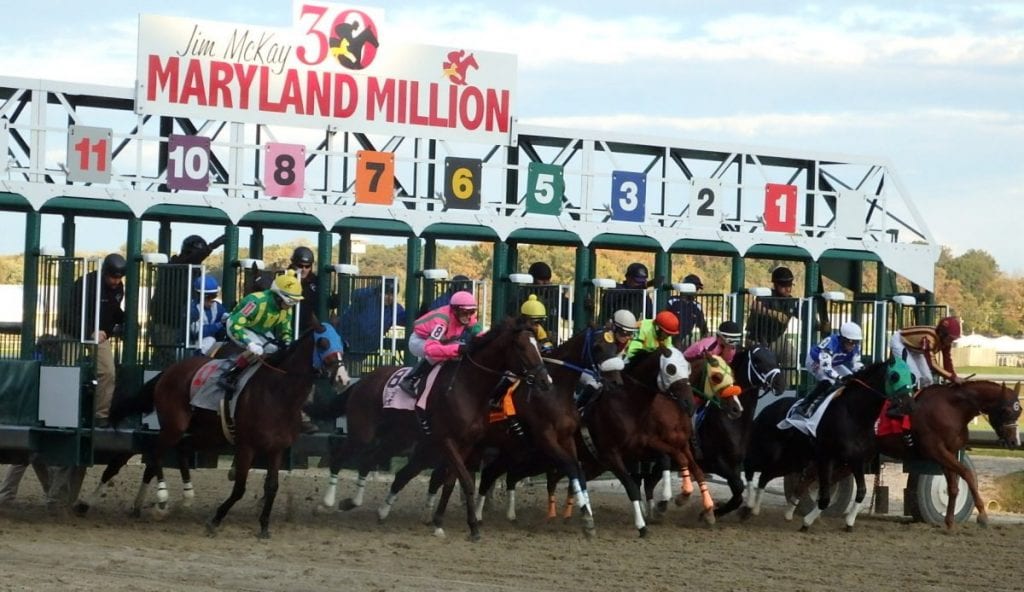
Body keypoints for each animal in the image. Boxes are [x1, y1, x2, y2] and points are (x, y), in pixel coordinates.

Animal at [108, 319, 348, 536]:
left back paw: (184, 497)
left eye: (342, 342)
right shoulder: (246, 446)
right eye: (323, 343)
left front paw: (264, 526)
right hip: (175, 425)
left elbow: (272, 486)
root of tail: (168, 371)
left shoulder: (276, 449)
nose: (342, 378)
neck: (277, 393)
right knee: (156, 453)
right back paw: (162, 501)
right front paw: (215, 520)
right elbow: (240, 488)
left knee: (181, 450)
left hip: (206, 433)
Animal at [311, 317, 552, 540]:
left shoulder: (466, 444)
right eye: (521, 347)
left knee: (368, 461)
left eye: (539, 346)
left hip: (398, 439)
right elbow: (466, 481)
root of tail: (361, 382)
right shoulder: (446, 440)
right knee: (339, 458)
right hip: (363, 433)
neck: (468, 387)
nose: (545, 380)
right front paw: (472, 527)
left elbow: (450, 482)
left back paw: (357, 503)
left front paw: (441, 522)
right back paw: (325, 503)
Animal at [745, 356, 913, 532]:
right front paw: (806, 522)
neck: (854, 415)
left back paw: (762, 509)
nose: (908, 405)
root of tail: (767, 409)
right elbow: (824, 498)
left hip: (790, 460)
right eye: (894, 376)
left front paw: (849, 522)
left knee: (765, 475)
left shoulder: (856, 461)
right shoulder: (826, 458)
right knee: (749, 466)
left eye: (911, 376)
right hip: (767, 452)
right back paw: (749, 505)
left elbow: (861, 492)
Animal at [876, 376, 1019, 524]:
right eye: (1006, 411)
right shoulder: (936, 450)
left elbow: (953, 486)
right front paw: (982, 515)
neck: (953, 409)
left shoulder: (949, 452)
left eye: (1019, 411)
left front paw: (949, 520)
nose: (1014, 441)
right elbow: (967, 474)